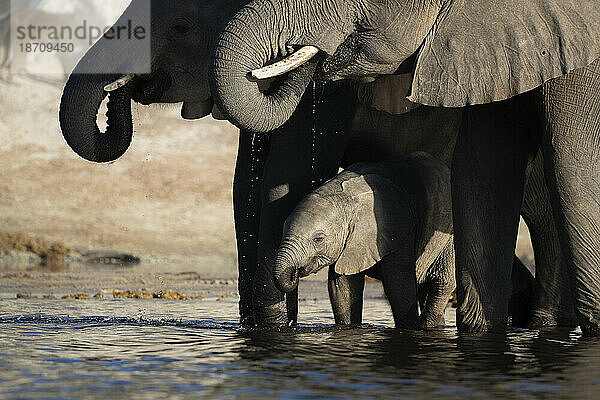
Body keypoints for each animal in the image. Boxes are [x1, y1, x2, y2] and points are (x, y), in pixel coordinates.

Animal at [274, 152, 454, 330]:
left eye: (318, 239)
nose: (294, 274)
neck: (344, 194)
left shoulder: (397, 227)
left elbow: (399, 286)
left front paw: (409, 329)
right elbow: (342, 288)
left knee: (441, 285)